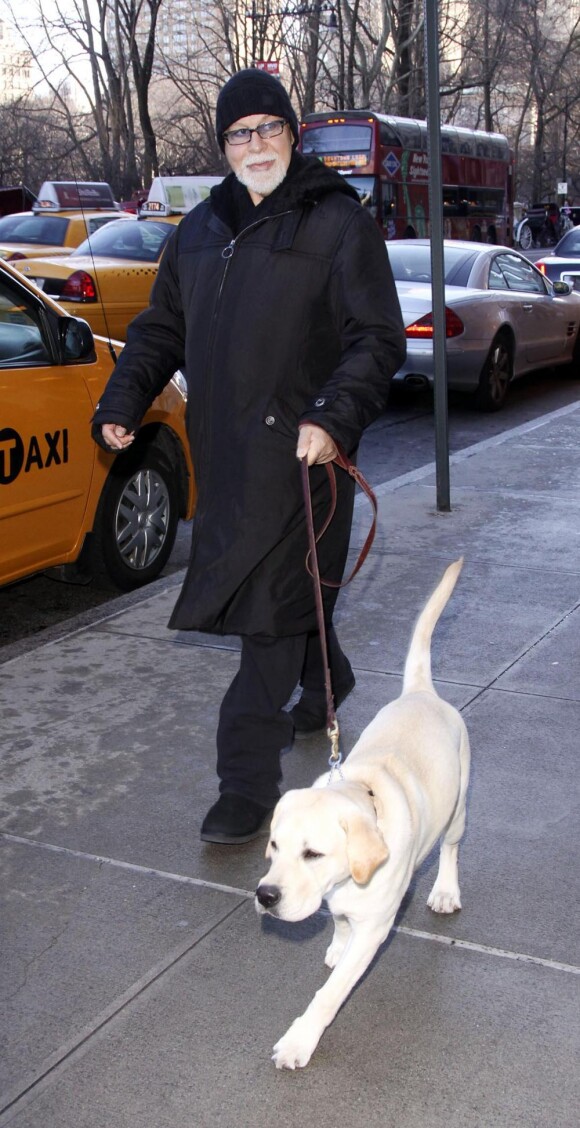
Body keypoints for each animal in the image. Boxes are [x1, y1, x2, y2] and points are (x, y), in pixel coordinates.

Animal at [255, 559, 467, 1069]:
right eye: (274, 845)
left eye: (313, 854)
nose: (265, 896)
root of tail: (422, 692)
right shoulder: (341, 902)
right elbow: (338, 920)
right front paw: (336, 941)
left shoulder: (376, 927)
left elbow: (329, 994)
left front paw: (300, 1040)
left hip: (459, 803)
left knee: (451, 847)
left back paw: (446, 889)